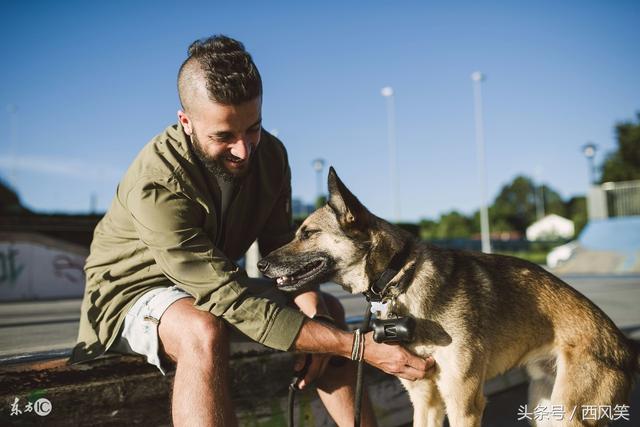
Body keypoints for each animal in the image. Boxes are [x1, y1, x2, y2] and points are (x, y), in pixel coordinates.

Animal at [262, 169, 640, 427]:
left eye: (307, 234)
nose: (261, 263)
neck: (400, 278)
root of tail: (623, 344)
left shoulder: (464, 402)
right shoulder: (425, 402)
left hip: (570, 414)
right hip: (545, 408)